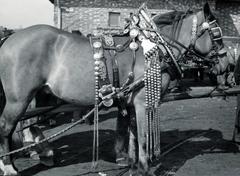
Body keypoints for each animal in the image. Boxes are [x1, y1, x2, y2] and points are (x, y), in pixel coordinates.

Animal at [0, 2, 230, 176]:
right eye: (216, 33)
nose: (226, 64)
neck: (155, 47)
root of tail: (9, 38)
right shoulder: (142, 102)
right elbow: (142, 135)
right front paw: (144, 167)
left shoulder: (129, 101)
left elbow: (131, 132)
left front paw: (132, 163)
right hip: (19, 99)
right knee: (7, 126)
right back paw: (10, 166)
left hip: (38, 95)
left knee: (26, 123)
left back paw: (40, 153)